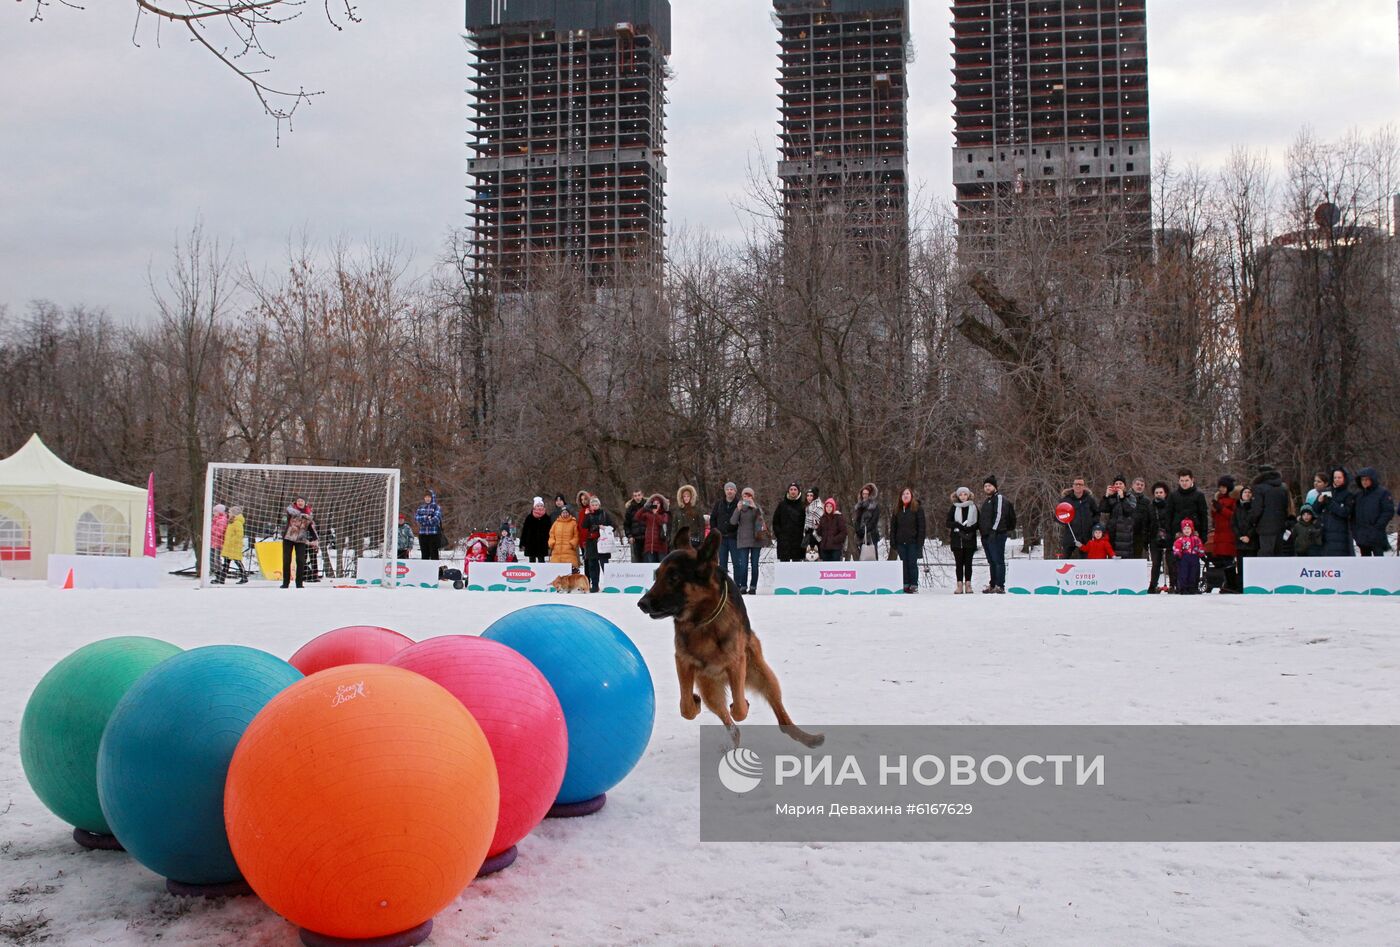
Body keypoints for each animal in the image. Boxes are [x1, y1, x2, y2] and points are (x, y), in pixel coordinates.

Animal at [635, 523, 817, 745]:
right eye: (657, 576)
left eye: (674, 578)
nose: (642, 604)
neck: (702, 621)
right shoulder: (683, 663)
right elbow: (685, 707)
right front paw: (693, 703)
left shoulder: (736, 664)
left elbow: (739, 709)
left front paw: (741, 705)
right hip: (710, 688)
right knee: (728, 720)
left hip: (763, 674)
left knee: (781, 717)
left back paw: (808, 738)